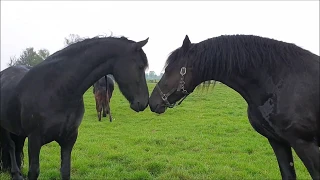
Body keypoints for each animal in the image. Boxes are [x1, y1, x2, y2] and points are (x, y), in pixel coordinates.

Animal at [0, 35, 150, 180]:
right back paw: (15, 173)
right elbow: (34, 172)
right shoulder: (35, 140)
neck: (57, 90)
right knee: (11, 146)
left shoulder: (69, 139)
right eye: (140, 66)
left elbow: (65, 171)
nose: (143, 102)